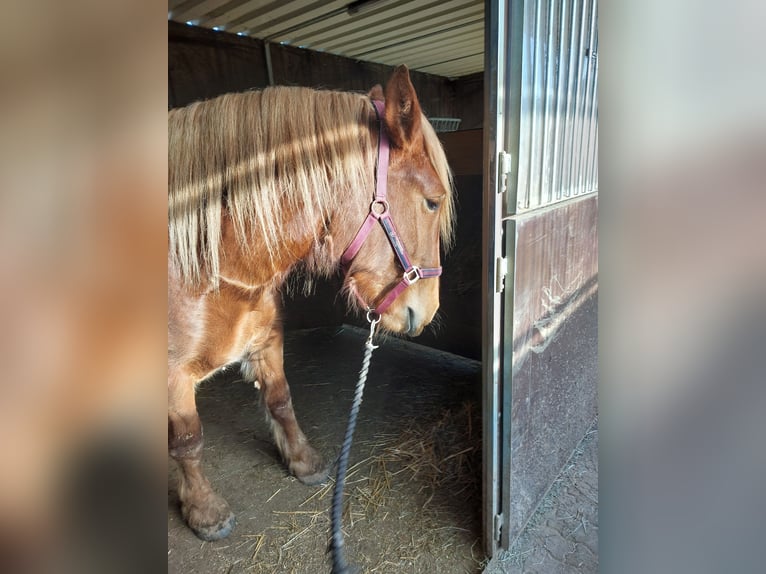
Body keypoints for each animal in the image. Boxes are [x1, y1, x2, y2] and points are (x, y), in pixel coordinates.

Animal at [168, 66, 456, 544]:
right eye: (432, 201)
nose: (427, 311)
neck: (211, 268)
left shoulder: (267, 340)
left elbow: (281, 400)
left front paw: (303, 461)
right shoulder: (172, 378)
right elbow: (188, 442)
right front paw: (205, 511)